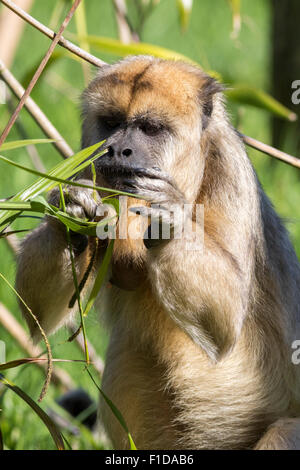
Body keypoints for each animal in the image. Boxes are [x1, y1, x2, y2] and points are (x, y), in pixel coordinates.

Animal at [15, 55, 300, 448]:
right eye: (112, 123)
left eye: (149, 128)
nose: (118, 148)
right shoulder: (87, 166)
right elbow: (39, 313)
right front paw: (70, 215)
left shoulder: (231, 175)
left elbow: (225, 323)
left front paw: (169, 216)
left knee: (285, 430)